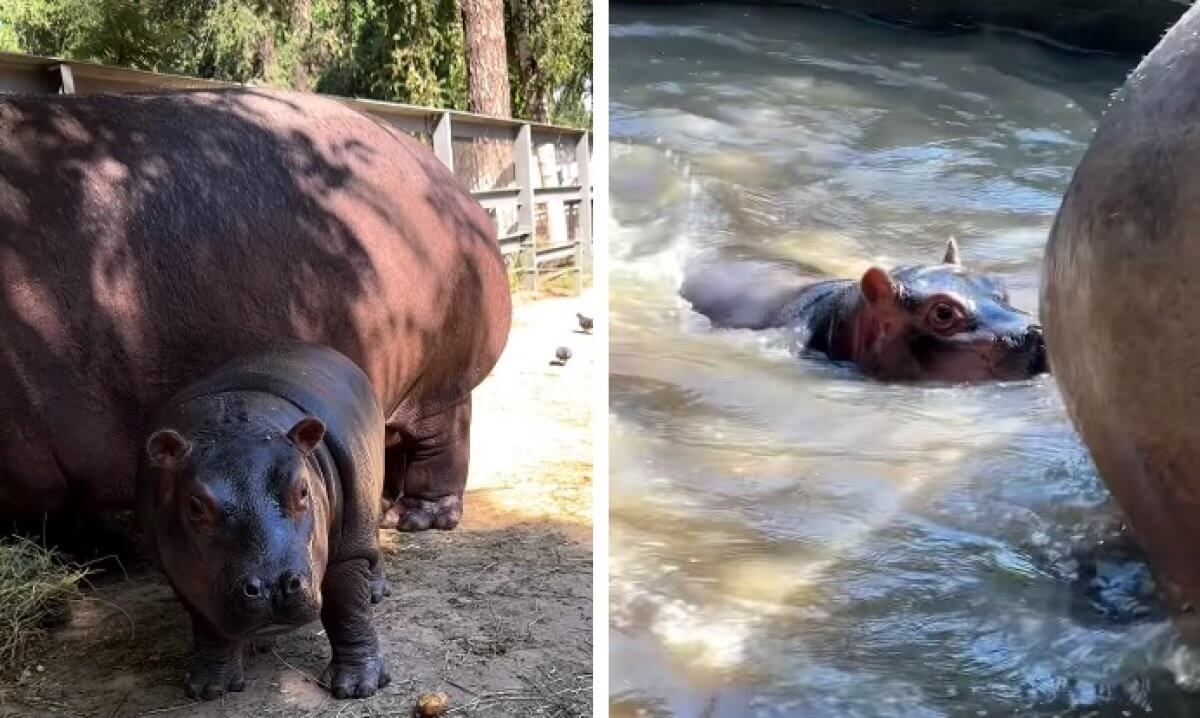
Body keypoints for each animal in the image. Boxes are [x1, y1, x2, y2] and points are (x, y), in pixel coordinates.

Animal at [0, 87, 511, 535]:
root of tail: (454, 186)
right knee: (391, 445)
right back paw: (383, 508)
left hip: (439, 381)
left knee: (439, 444)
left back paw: (416, 519)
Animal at [137, 345, 388, 701]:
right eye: (195, 506)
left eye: (302, 490)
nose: (273, 585)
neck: (234, 418)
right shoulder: (182, 573)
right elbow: (208, 626)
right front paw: (209, 688)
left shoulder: (345, 554)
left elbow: (348, 607)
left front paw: (356, 687)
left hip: (369, 491)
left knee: (371, 542)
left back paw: (376, 591)